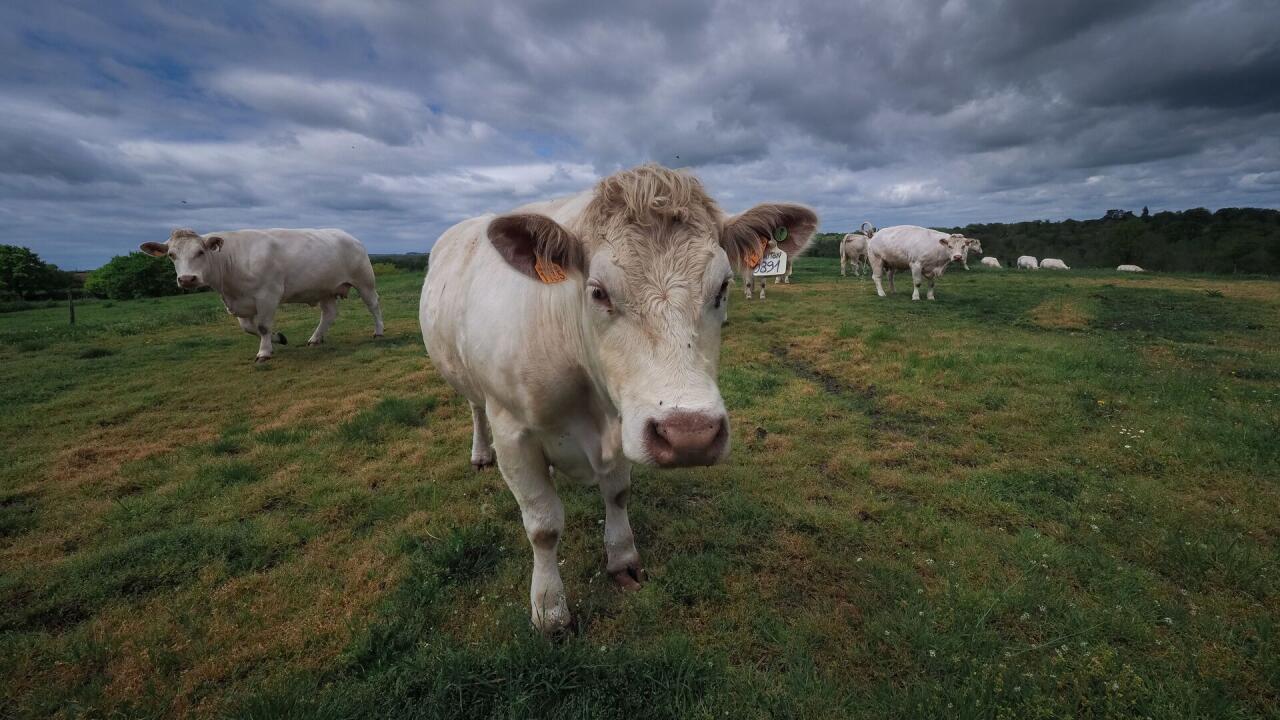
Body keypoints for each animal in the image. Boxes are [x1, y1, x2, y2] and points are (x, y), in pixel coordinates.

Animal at [140, 228, 381, 361]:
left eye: (200, 252)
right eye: (171, 255)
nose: (187, 279)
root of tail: (348, 235)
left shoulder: (268, 295)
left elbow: (263, 326)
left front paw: (264, 352)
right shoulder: (241, 303)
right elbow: (249, 328)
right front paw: (278, 339)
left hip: (364, 281)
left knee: (373, 305)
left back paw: (378, 331)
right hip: (324, 288)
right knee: (329, 314)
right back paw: (315, 338)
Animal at [419, 163, 819, 627]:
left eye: (722, 288)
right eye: (598, 292)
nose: (690, 434)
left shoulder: (627, 421)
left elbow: (617, 494)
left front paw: (622, 558)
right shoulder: (512, 432)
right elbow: (543, 525)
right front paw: (550, 607)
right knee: (474, 409)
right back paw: (480, 454)